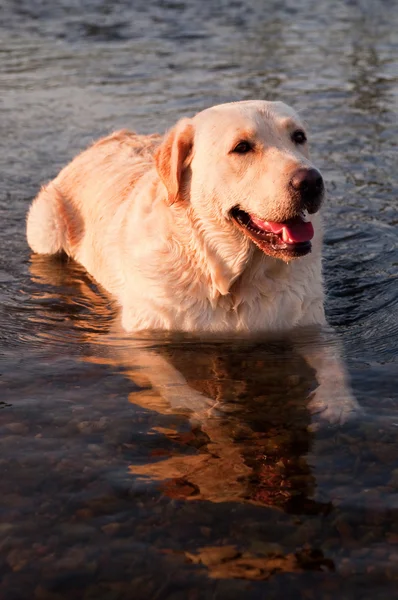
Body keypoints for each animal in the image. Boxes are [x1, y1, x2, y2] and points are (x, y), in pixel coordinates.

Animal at [24, 101, 360, 424]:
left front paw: (338, 401)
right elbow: (164, 374)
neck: (230, 280)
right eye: (242, 147)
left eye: (299, 137)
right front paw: (198, 406)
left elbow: (333, 357)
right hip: (44, 230)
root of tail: (107, 139)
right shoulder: (131, 334)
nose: (311, 181)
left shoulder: (309, 324)